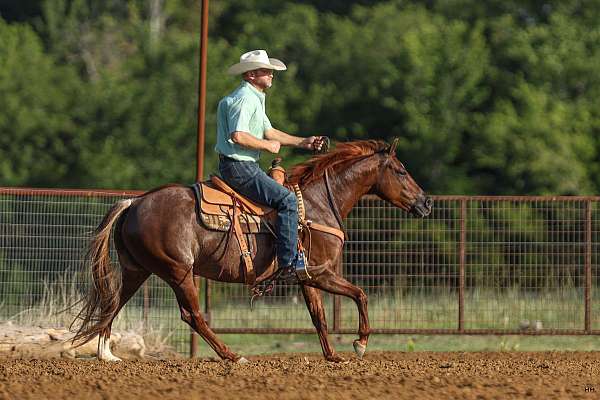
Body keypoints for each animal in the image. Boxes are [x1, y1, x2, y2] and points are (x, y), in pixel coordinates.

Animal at [71, 139, 432, 364]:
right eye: (401, 170)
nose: (426, 202)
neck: (317, 204)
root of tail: (135, 202)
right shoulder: (321, 272)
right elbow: (360, 294)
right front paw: (360, 344)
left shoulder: (306, 277)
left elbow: (319, 316)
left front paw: (333, 356)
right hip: (179, 272)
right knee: (192, 315)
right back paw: (232, 356)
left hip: (138, 270)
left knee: (112, 303)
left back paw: (106, 354)